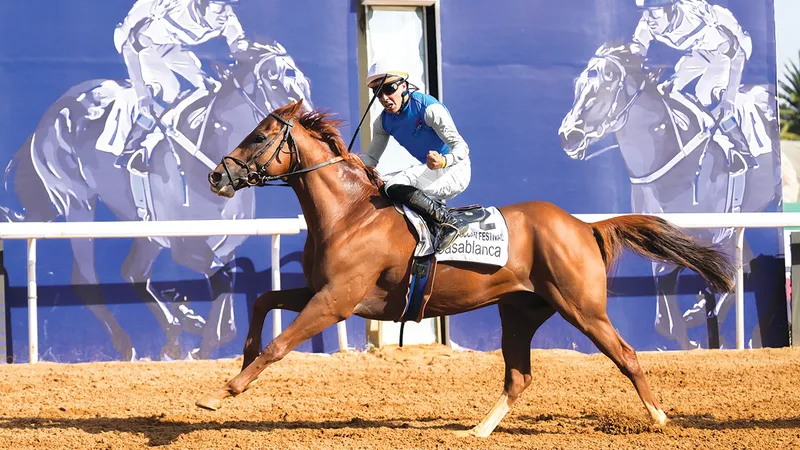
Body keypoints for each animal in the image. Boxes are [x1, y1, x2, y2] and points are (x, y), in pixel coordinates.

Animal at [0, 44, 312, 361]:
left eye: (304, 81)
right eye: (273, 81)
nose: (307, 128)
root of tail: (49, 116)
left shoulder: (225, 244)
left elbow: (226, 288)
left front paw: (194, 322)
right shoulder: (184, 246)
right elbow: (221, 283)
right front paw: (199, 338)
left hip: (140, 228)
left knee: (133, 272)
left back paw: (175, 329)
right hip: (77, 202)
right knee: (86, 278)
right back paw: (130, 343)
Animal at [197, 99, 736, 437]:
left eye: (259, 136)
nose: (216, 176)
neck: (349, 214)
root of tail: (584, 226)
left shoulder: (337, 301)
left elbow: (280, 345)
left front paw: (220, 394)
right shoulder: (321, 290)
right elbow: (263, 301)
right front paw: (241, 359)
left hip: (582, 307)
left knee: (626, 355)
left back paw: (660, 419)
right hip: (520, 311)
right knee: (519, 376)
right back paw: (476, 429)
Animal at [558, 43, 780, 349]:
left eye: (608, 83)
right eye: (578, 84)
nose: (569, 136)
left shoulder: (715, 233)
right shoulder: (660, 242)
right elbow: (665, 322)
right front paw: (697, 335)